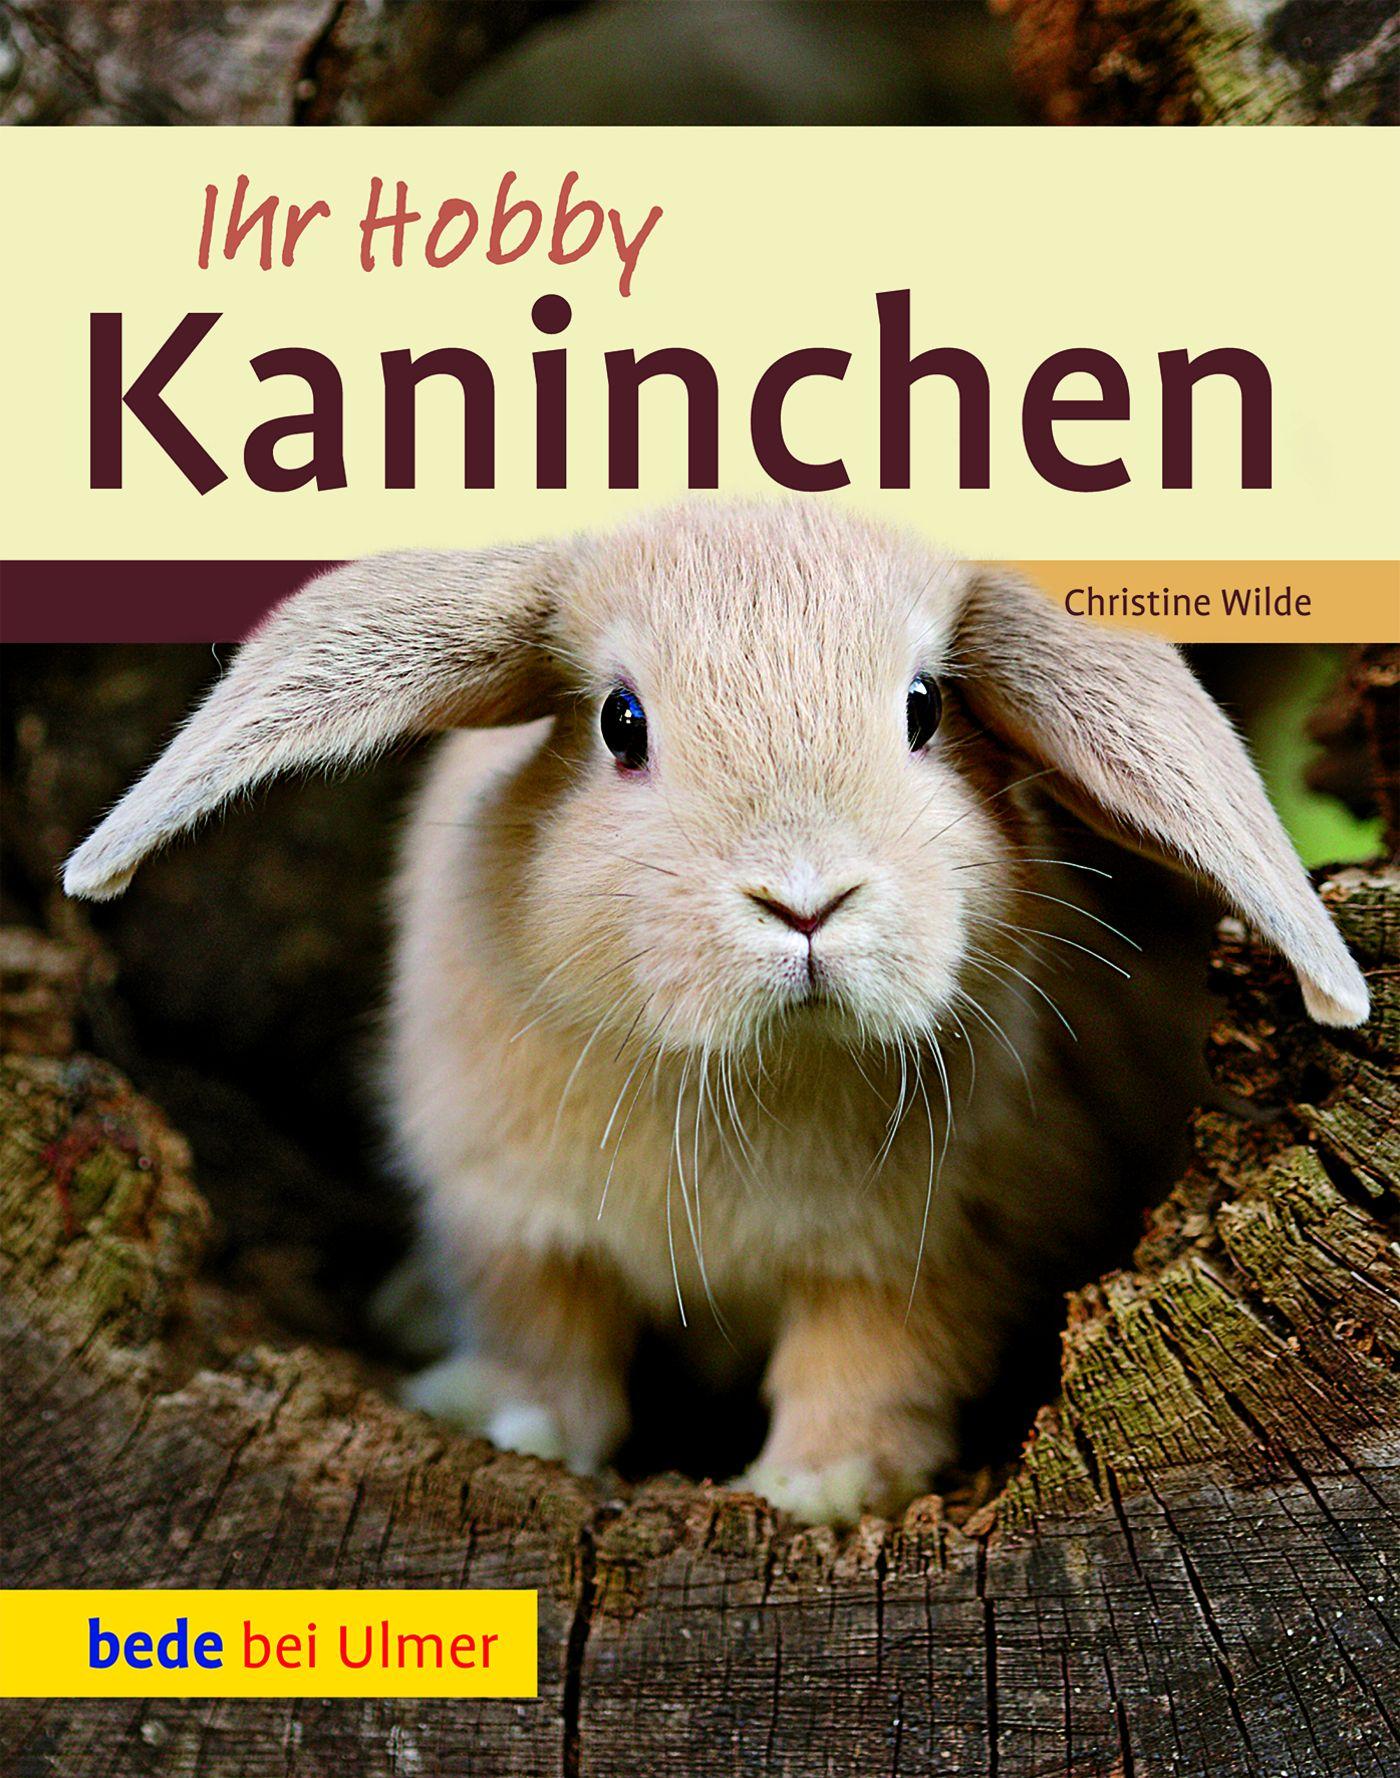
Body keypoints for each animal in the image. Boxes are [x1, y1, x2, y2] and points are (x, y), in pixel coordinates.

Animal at [64, 502, 1369, 1526]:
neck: (748, 1073)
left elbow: (869, 1363)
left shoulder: (927, 1252)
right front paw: (520, 1430)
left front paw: (813, 1489)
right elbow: (543, 1335)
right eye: (620, 722)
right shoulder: (508, 1216)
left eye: (923, 708)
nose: (804, 899)